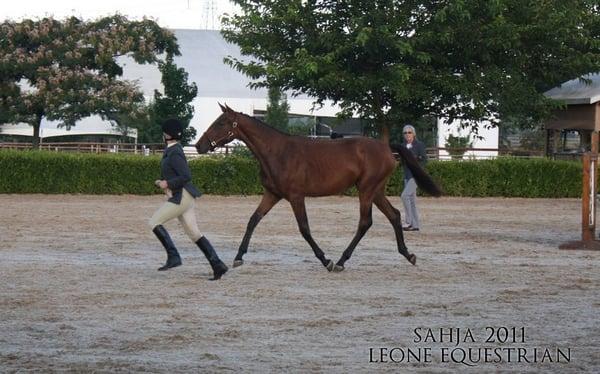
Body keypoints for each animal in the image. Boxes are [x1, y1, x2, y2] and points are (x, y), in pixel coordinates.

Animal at [196, 104, 440, 272]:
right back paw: (408, 255)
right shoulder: (272, 194)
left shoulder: (296, 196)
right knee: (394, 215)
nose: (199, 145)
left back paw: (340, 261)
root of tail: (386, 147)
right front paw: (238, 257)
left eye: (220, 123)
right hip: (376, 191)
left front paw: (326, 260)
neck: (277, 152)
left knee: (365, 222)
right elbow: (253, 220)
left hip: (366, 190)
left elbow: (304, 228)